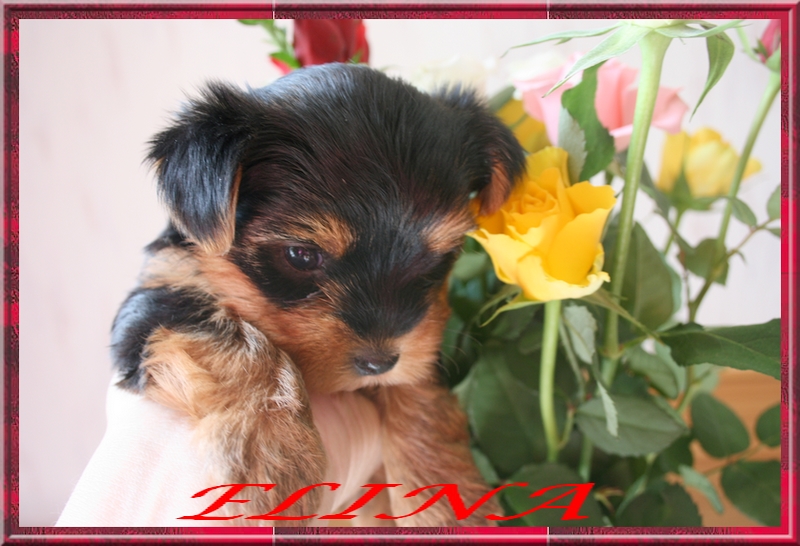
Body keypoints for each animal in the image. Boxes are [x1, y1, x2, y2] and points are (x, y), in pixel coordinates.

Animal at [109, 63, 526, 526]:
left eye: (440, 257)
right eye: (302, 255)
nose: (378, 361)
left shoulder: (418, 341)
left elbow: (418, 386)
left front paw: (447, 496)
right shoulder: (161, 290)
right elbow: (231, 343)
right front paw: (270, 457)